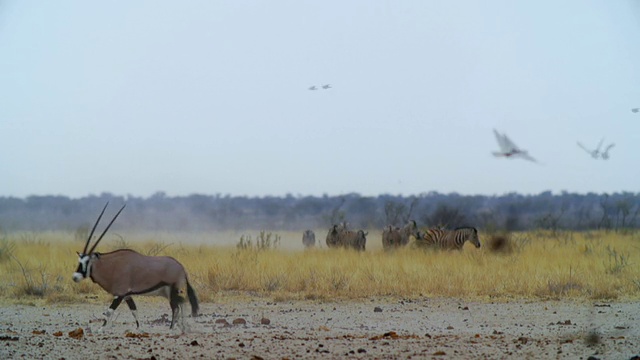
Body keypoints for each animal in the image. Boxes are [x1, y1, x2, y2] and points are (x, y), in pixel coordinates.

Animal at [72, 202, 200, 330]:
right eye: (79, 261)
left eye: (87, 261)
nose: (75, 277)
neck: (111, 265)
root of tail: (181, 267)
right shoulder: (127, 296)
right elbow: (134, 311)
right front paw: (138, 328)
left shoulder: (119, 294)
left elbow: (109, 311)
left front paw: (101, 329)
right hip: (168, 292)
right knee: (182, 303)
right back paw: (182, 327)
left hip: (173, 290)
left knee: (176, 307)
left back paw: (172, 328)